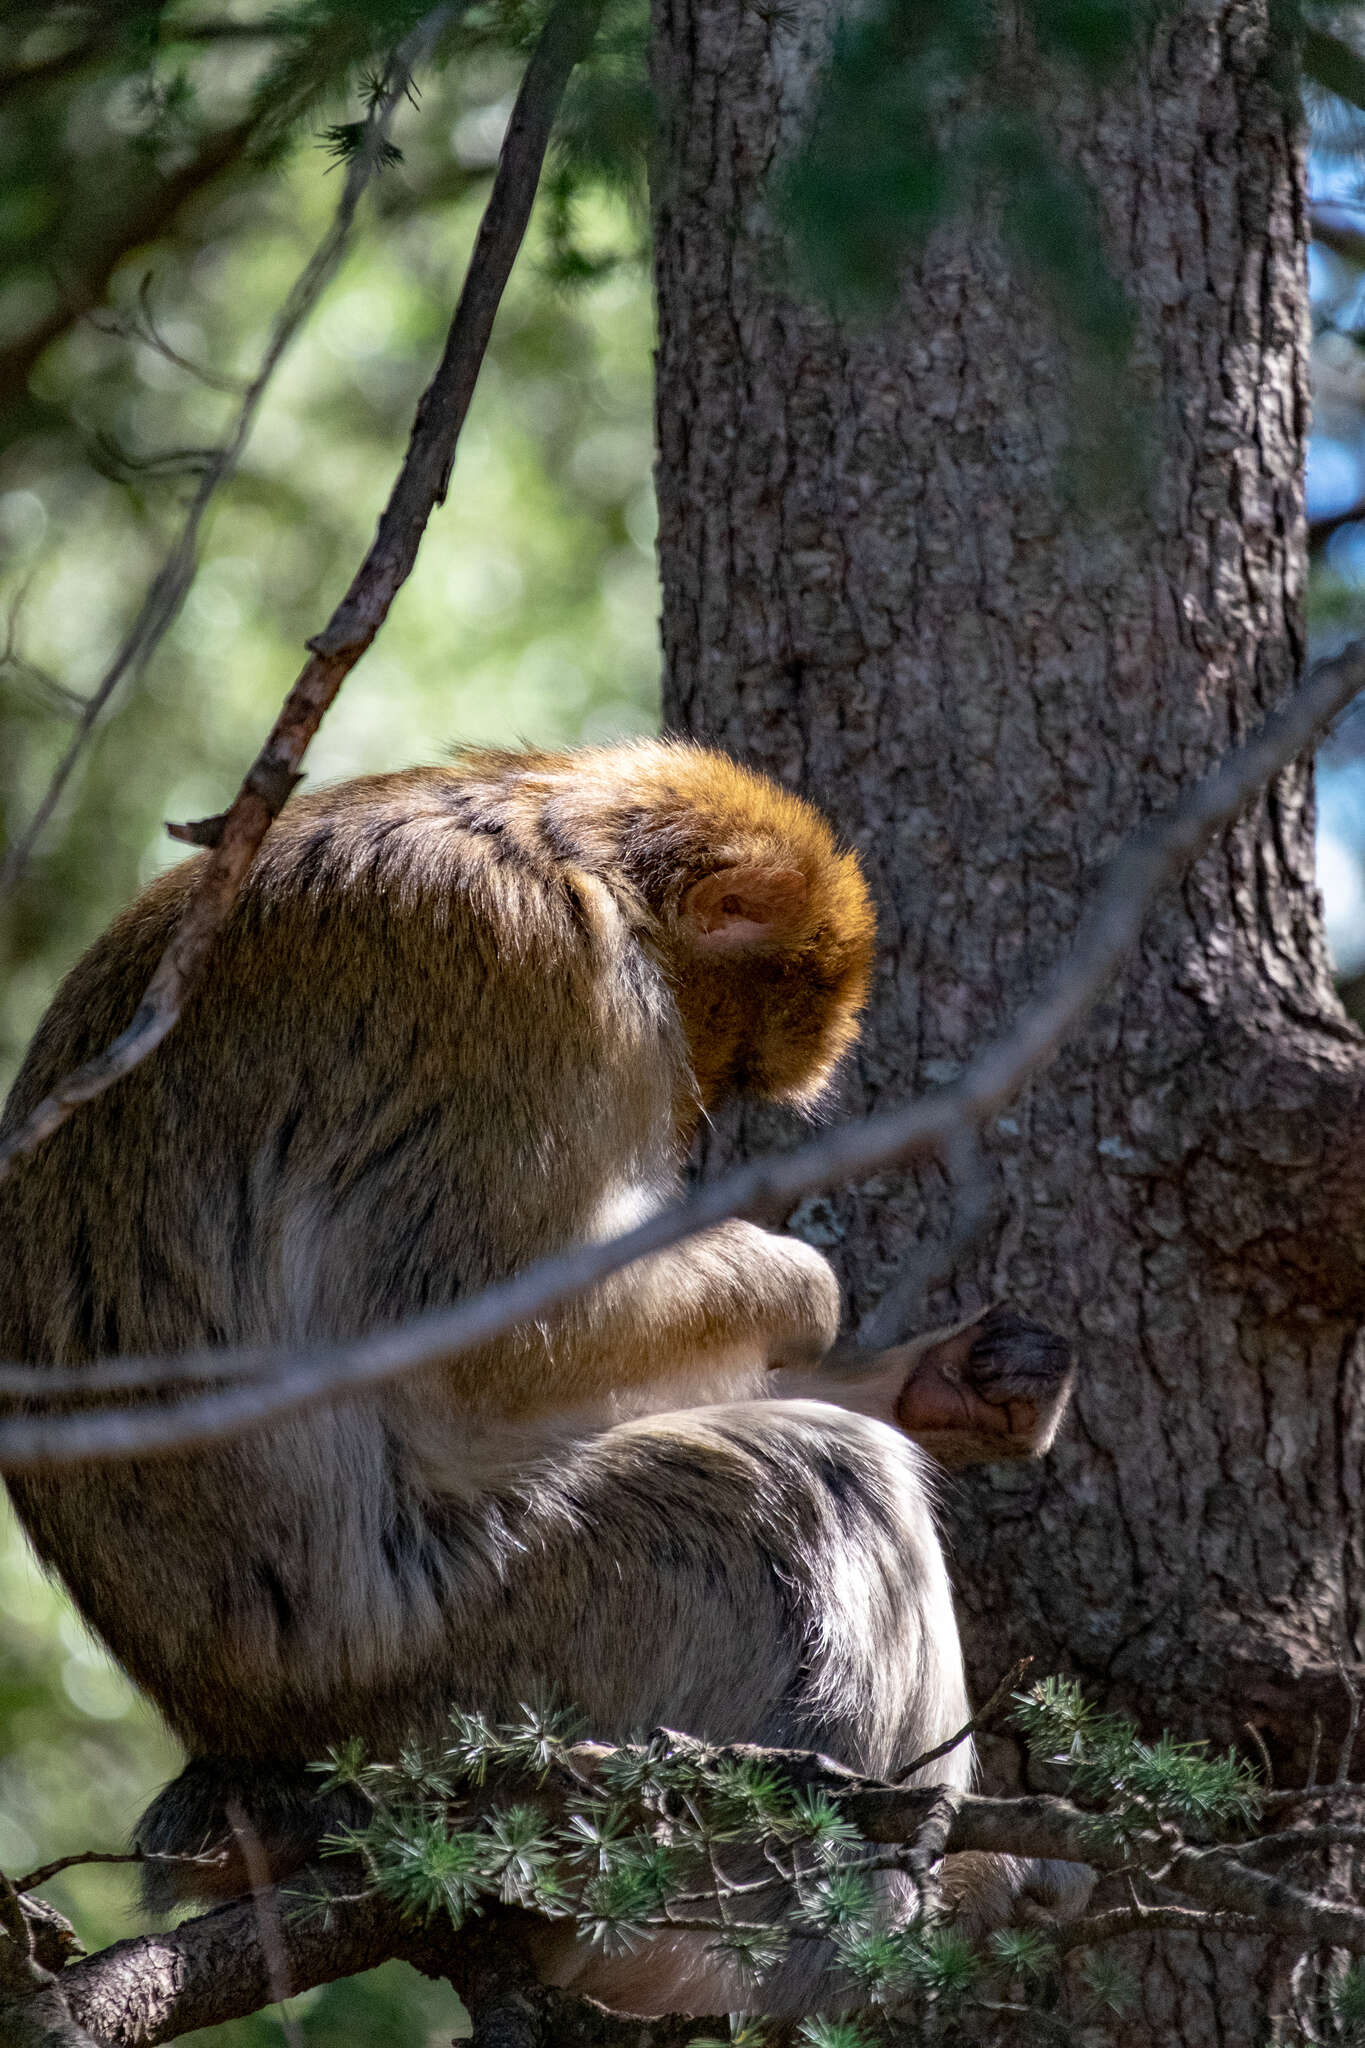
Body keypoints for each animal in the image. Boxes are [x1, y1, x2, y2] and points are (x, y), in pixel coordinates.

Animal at [0, 741, 1080, 2015]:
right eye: (725, 1062)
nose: (690, 1124)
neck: (555, 842)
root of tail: (256, 1752)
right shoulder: (536, 982)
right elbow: (484, 1340)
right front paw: (807, 1288)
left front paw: (951, 1383)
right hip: (470, 1671)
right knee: (813, 1481)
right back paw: (827, 1936)